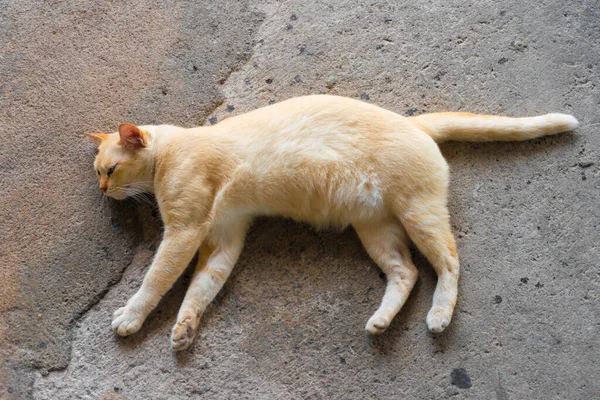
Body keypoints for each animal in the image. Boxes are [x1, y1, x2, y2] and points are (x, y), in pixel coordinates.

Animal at [86, 94, 580, 350]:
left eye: (110, 169)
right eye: (98, 172)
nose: (102, 191)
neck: (171, 153)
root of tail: (415, 123)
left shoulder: (184, 232)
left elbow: (156, 280)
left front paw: (131, 316)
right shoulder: (223, 239)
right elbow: (200, 289)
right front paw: (185, 327)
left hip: (419, 214)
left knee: (449, 264)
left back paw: (439, 315)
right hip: (377, 230)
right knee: (407, 272)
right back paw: (380, 322)